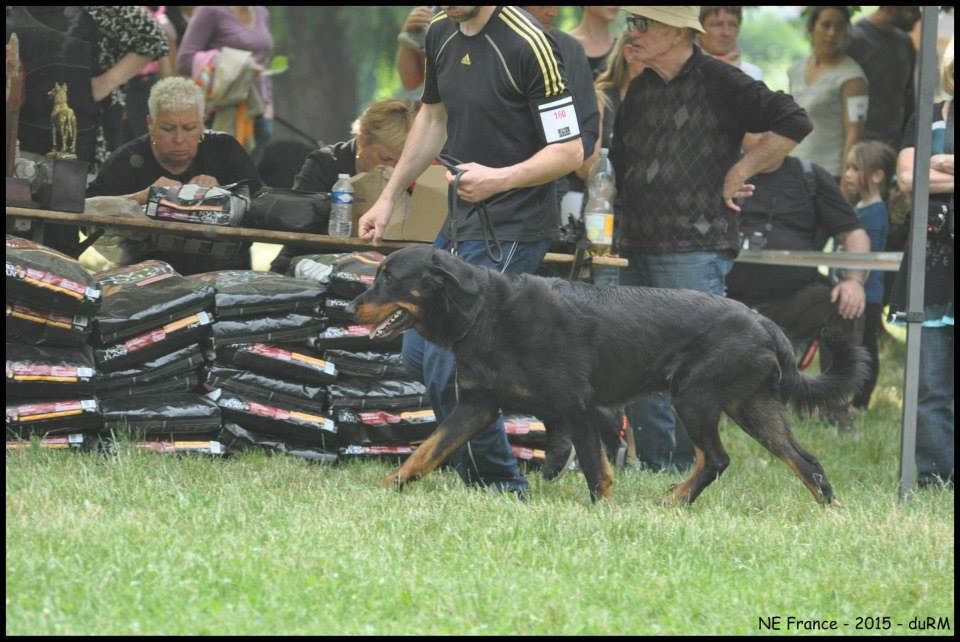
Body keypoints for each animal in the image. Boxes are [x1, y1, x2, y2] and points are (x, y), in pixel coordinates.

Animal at [346, 248, 872, 502]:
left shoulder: (578, 406)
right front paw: (386, 488)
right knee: (805, 461)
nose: (353, 304)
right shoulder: (477, 404)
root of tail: (763, 321)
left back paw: (675, 501)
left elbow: (596, 470)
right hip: (752, 406)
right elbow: (426, 451)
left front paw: (603, 511)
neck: (483, 314)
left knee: (717, 458)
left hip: (695, 396)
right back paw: (829, 511)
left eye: (389, 277)